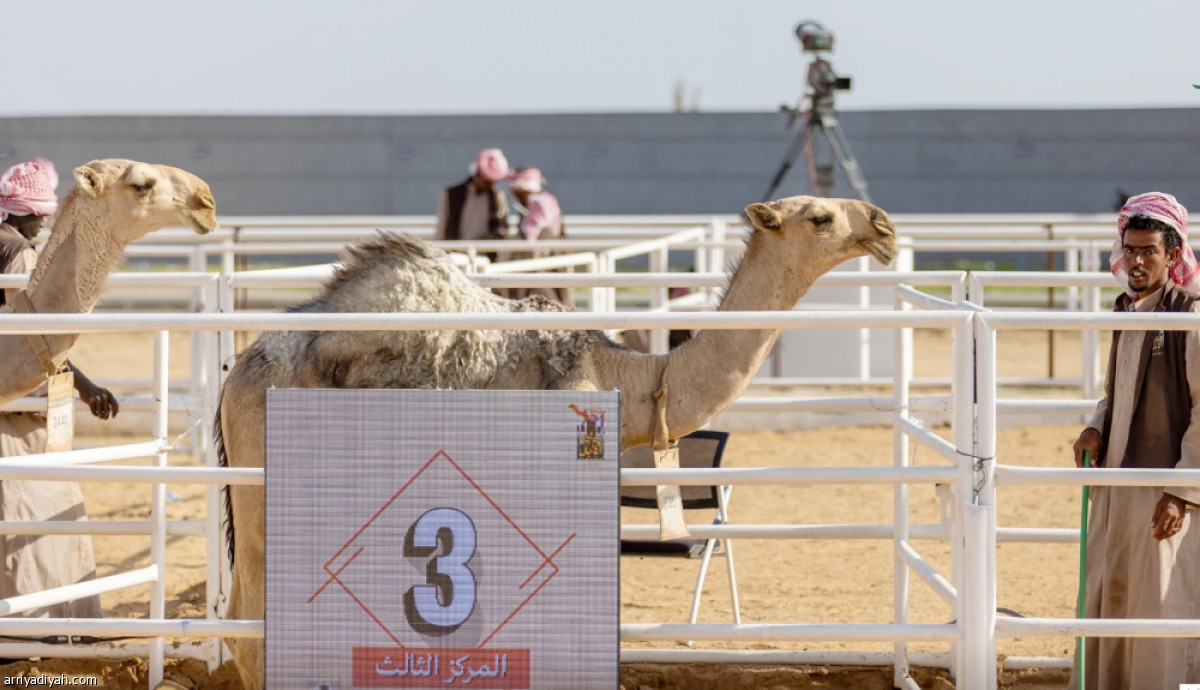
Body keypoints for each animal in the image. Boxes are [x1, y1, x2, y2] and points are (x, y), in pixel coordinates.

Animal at [216, 193, 897, 686]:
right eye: (820, 215)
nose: (884, 225)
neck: (633, 379)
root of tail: (237, 372)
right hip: (263, 498)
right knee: (250, 625)